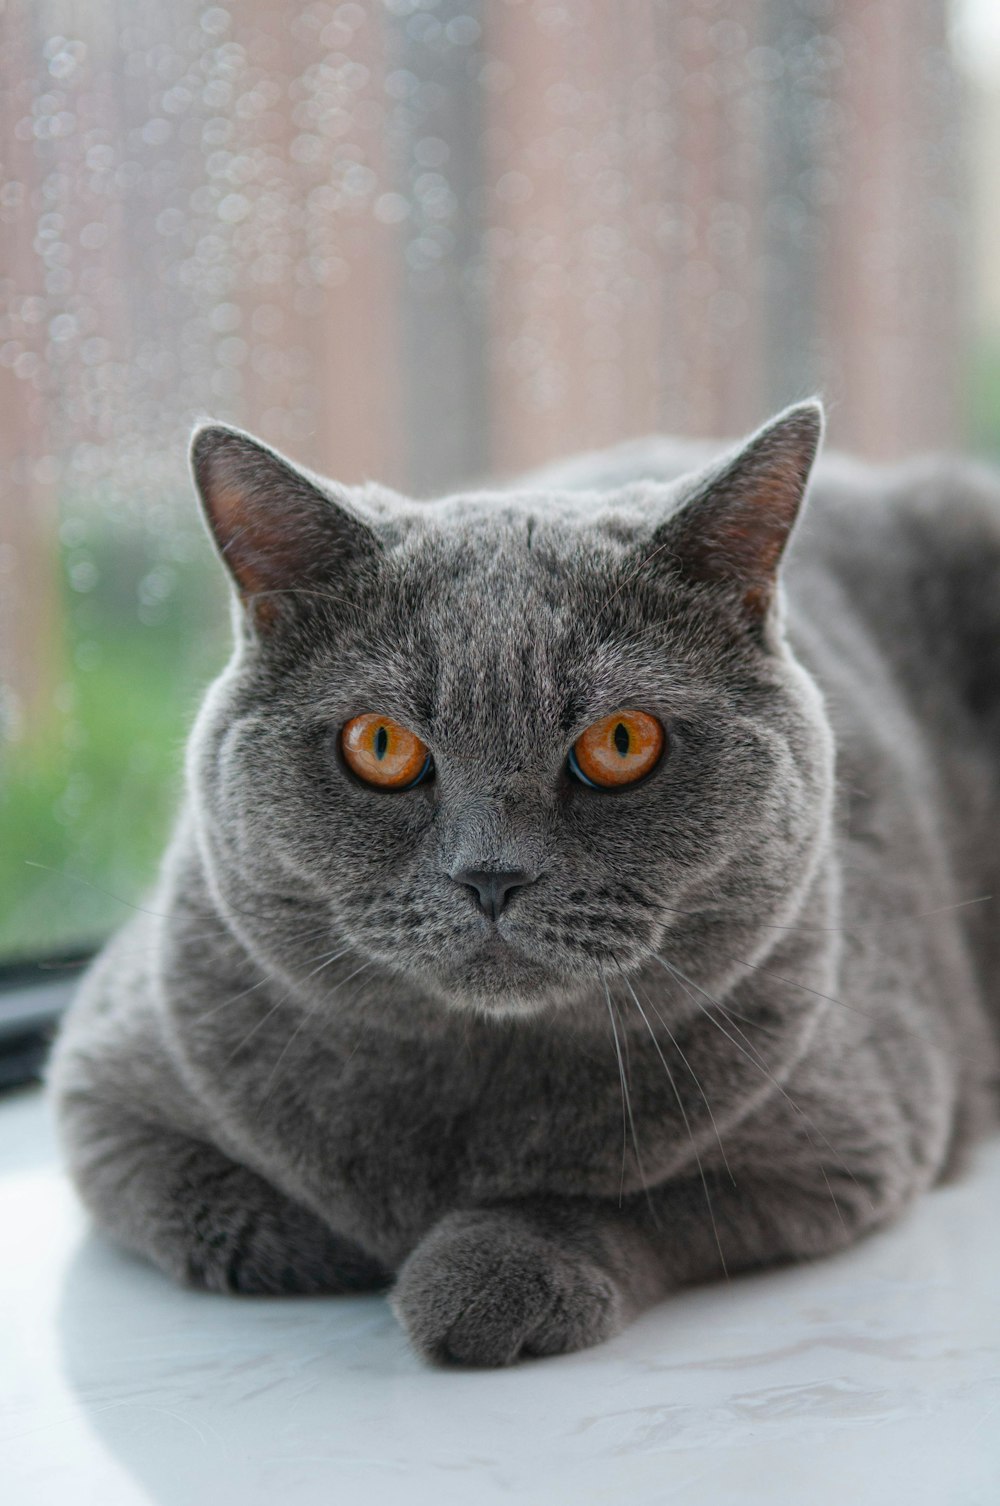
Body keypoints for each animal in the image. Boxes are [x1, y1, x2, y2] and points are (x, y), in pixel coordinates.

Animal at [46, 406, 1000, 1373]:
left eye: (622, 741)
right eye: (380, 745)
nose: (491, 875)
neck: (472, 1086)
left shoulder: (850, 1142)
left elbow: (631, 1201)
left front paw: (480, 1279)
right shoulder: (102, 1085)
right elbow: (216, 1207)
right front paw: (354, 1244)